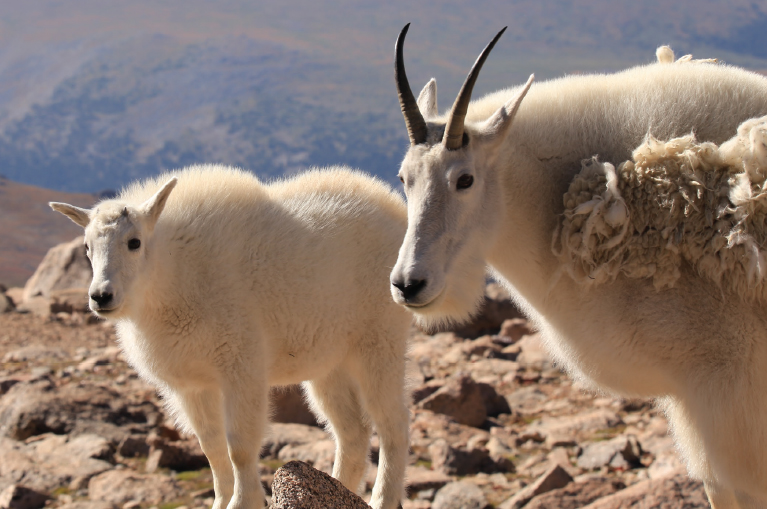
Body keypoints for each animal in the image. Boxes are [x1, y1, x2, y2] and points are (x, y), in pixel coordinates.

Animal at [52, 166, 414, 508]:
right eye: (87, 247)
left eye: (134, 242)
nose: (101, 297)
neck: (171, 274)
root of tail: (399, 214)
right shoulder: (193, 384)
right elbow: (211, 447)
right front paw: (221, 500)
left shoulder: (240, 364)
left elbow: (239, 444)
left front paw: (243, 502)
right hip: (329, 362)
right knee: (352, 431)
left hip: (381, 342)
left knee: (393, 424)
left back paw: (383, 498)